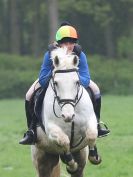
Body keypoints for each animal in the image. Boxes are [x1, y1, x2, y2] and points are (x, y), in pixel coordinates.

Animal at [30, 47, 97, 176]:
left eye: (77, 82)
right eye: (56, 83)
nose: (68, 115)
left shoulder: (90, 120)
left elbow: (92, 135)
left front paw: (94, 157)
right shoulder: (51, 129)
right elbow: (64, 141)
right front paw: (71, 164)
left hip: (80, 154)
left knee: (79, 168)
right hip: (43, 161)